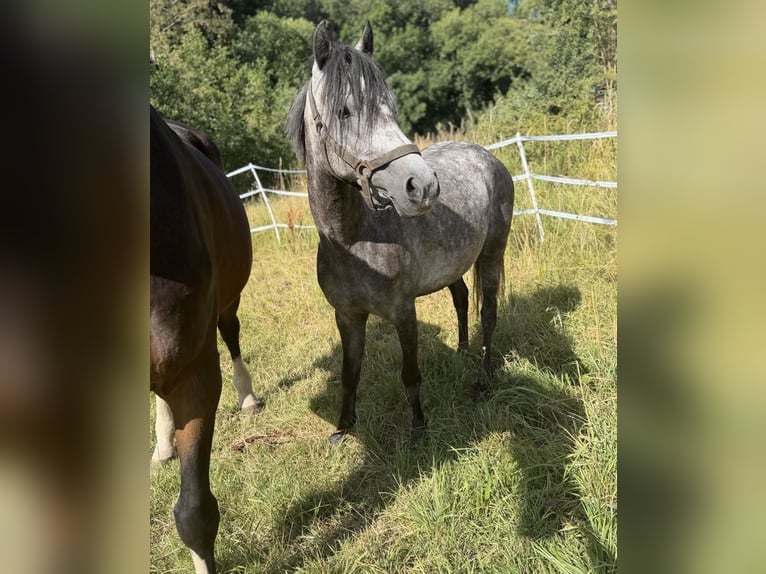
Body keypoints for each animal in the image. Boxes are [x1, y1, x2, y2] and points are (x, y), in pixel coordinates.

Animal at [286, 21, 514, 444]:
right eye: (344, 111)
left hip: (492, 257)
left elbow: (410, 375)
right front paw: (343, 427)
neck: (353, 242)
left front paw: (419, 430)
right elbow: (349, 374)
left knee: (488, 314)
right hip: (453, 266)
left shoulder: (403, 313)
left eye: (390, 108)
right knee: (461, 299)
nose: (423, 186)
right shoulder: (347, 316)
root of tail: (486, 156)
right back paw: (462, 352)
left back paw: (482, 380)